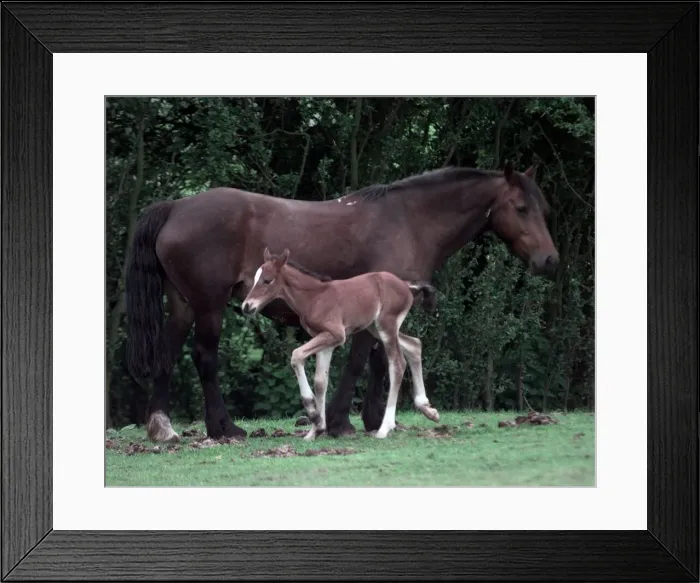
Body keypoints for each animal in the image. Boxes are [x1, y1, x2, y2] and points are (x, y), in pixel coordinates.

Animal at [241, 248, 441, 440]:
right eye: (255, 279)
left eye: (267, 280)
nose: (246, 306)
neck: (314, 297)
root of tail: (406, 285)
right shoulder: (326, 340)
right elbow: (320, 381)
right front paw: (315, 430)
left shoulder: (336, 334)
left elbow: (296, 355)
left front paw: (313, 414)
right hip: (374, 328)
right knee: (415, 344)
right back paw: (428, 409)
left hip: (387, 326)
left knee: (397, 364)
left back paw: (385, 428)